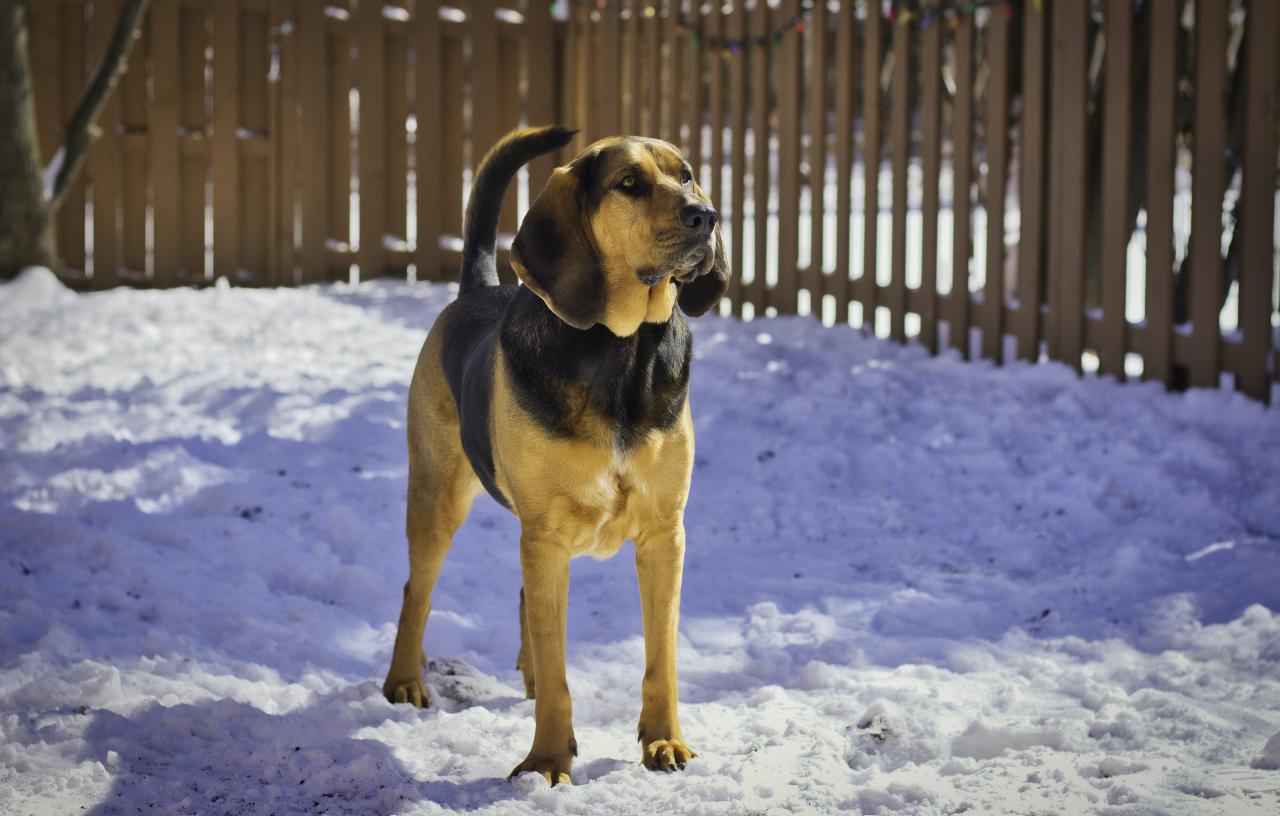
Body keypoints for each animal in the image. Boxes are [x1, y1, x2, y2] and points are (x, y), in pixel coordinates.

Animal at [378, 126, 732, 787]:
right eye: (629, 183)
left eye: (688, 175)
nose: (707, 216)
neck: (621, 354)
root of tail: (477, 288)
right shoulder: (545, 537)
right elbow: (558, 671)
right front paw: (546, 761)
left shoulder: (664, 536)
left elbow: (661, 657)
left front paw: (664, 741)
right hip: (439, 498)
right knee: (418, 590)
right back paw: (405, 680)